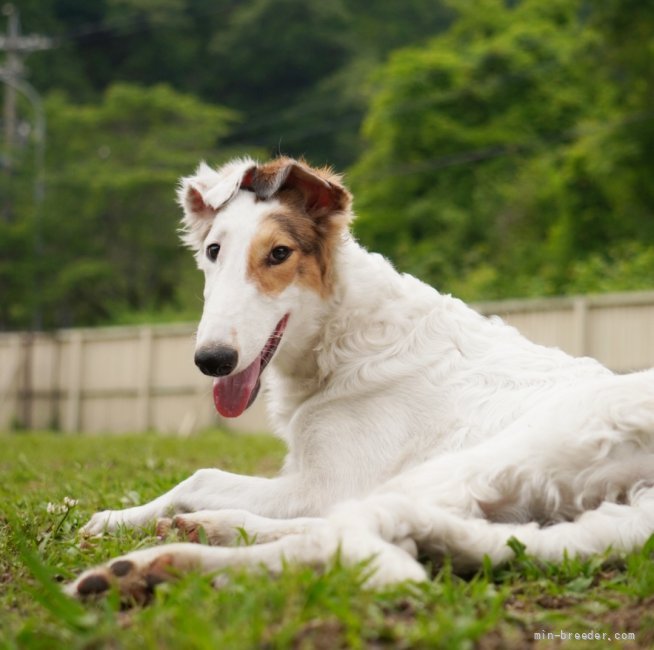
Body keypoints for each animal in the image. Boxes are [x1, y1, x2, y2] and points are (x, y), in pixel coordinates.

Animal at [69, 156, 654, 596]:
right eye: (213, 251)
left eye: (278, 254)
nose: (211, 360)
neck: (347, 338)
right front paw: (106, 515)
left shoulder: (324, 483)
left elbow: (200, 476)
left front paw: (117, 520)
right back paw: (192, 540)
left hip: (485, 461)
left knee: (354, 539)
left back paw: (148, 566)